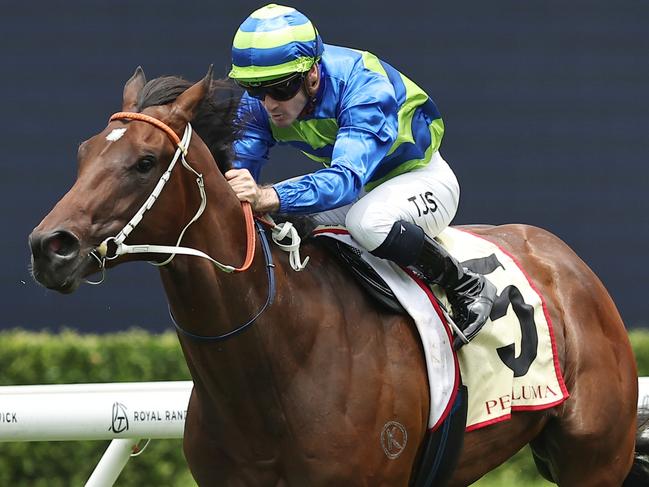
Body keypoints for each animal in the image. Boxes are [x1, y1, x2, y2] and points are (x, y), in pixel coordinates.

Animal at [27, 69, 644, 487]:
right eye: (83, 154)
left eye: (145, 162)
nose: (49, 247)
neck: (275, 364)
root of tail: (566, 260)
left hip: (593, 457)